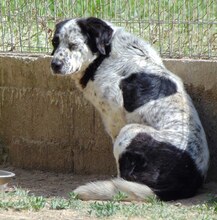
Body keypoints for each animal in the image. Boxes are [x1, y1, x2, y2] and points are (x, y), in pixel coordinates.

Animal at [50, 17, 209, 201]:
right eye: (55, 42)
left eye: (73, 44)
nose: (55, 64)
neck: (105, 55)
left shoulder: (115, 118)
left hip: (130, 131)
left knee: (125, 178)